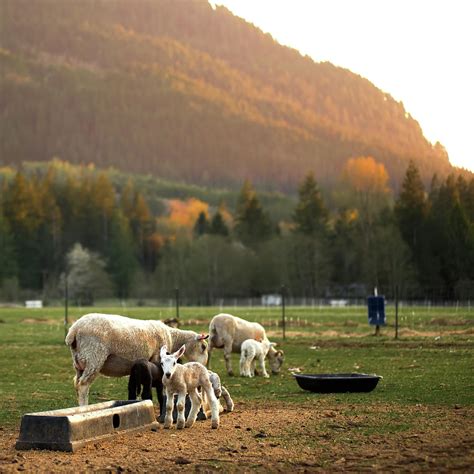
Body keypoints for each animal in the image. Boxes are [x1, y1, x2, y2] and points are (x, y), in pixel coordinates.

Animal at [65, 312, 209, 406]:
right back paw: (84, 407)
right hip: (94, 357)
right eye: (203, 347)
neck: (172, 337)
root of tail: (74, 330)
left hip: (79, 362)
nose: (203, 367)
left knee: (77, 383)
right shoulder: (157, 358)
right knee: (83, 385)